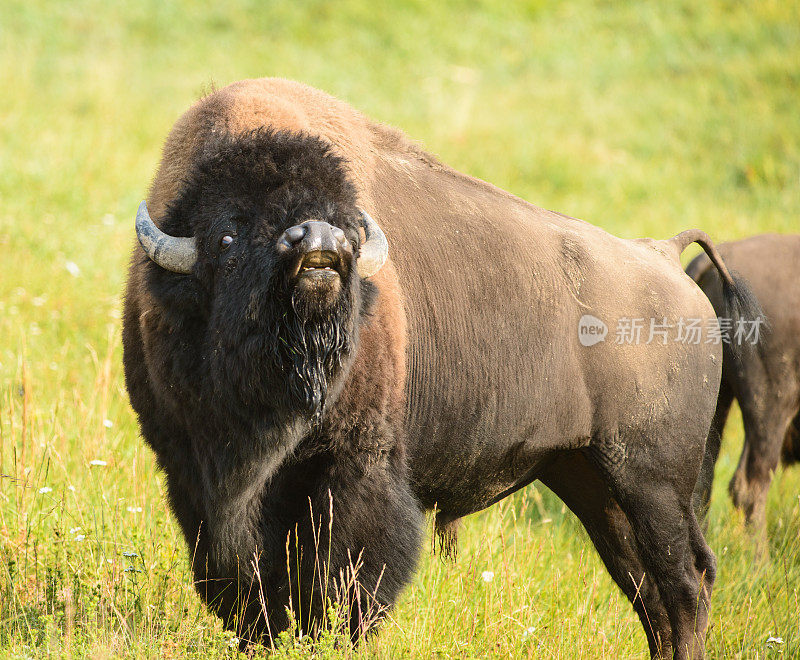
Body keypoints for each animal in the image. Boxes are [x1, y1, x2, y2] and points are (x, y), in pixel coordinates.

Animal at [122, 76, 760, 656]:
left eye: (344, 218)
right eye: (227, 236)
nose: (321, 241)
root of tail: (665, 256)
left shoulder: (356, 466)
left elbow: (348, 573)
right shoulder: (192, 476)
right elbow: (244, 576)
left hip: (652, 480)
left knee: (685, 583)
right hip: (593, 481)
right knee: (648, 591)